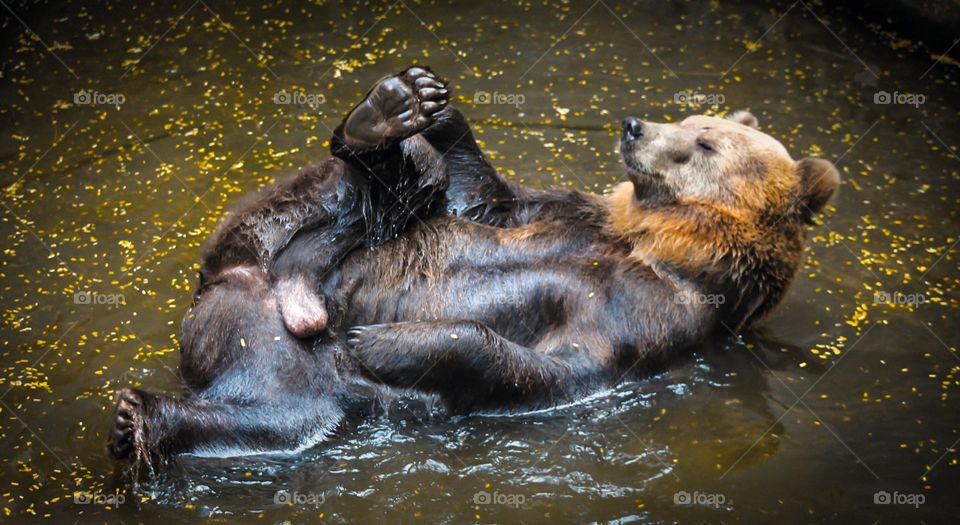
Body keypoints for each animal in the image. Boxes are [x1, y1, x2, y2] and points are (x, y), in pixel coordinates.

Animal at [108, 65, 839, 459]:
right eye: (689, 121)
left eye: (705, 141)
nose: (634, 127)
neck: (654, 242)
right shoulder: (557, 211)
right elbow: (479, 195)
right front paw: (436, 106)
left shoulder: (657, 316)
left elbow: (555, 368)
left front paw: (384, 339)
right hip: (262, 245)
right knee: (355, 195)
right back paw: (386, 117)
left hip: (292, 367)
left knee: (280, 412)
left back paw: (139, 419)